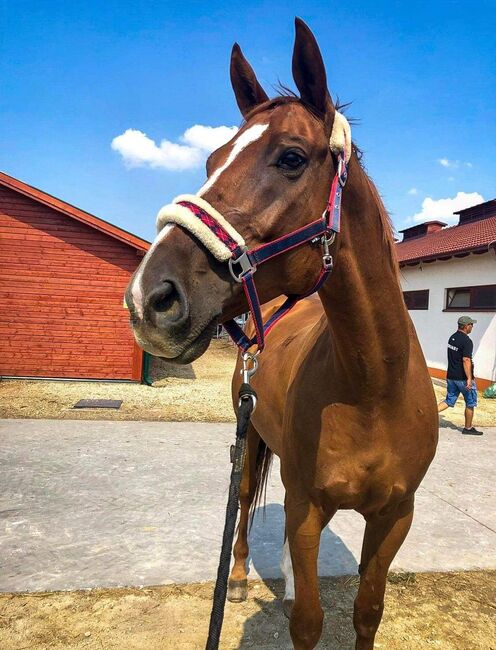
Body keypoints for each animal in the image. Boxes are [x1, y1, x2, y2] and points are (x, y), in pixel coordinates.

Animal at [125, 17, 438, 644]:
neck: (373, 390)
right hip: (251, 447)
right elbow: (308, 622)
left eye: (291, 157)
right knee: (245, 507)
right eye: (211, 161)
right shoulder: (307, 509)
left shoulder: (395, 518)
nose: (150, 298)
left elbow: (367, 612)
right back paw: (241, 577)